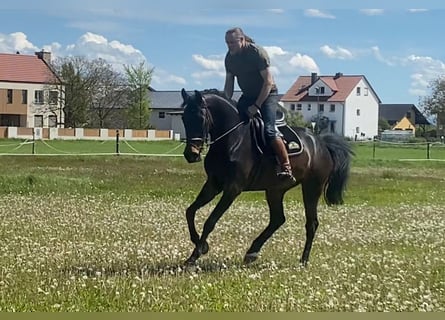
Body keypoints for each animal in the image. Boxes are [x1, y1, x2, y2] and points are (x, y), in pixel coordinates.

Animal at [179, 89, 352, 266]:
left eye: (200, 118)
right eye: (184, 118)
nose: (191, 154)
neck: (233, 139)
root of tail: (321, 143)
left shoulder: (232, 188)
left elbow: (210, 221)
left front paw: (194, 256)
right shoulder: (213, 184)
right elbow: (190, 211)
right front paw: (201, 244)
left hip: (312, 187)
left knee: (311, 223)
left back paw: (303, 260)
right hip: (275, 190)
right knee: (278, 219)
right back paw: (252, 252)